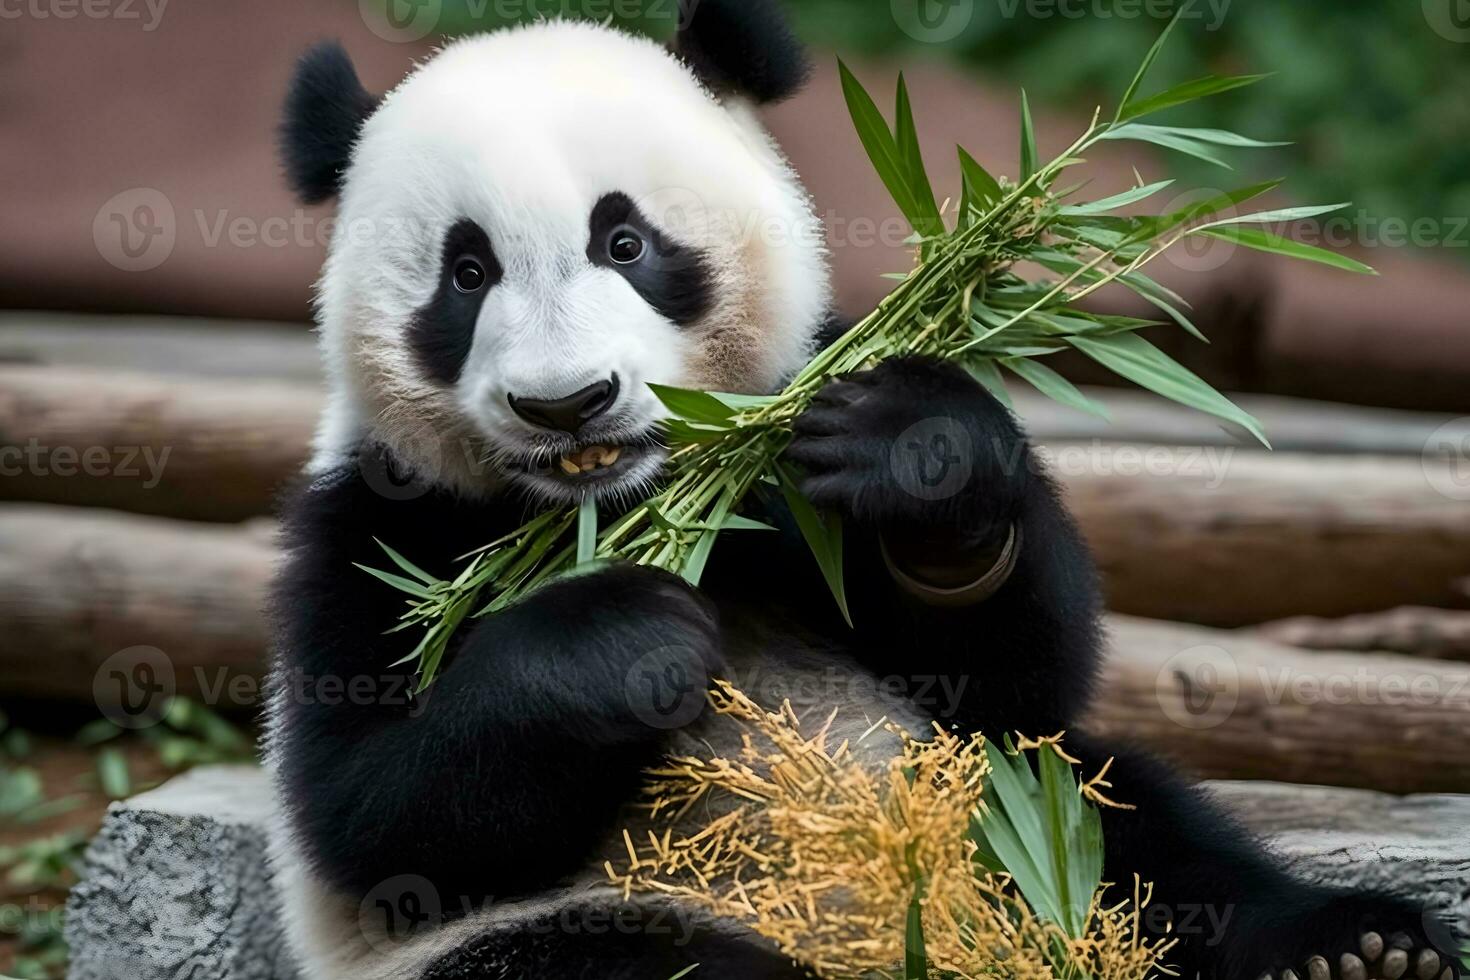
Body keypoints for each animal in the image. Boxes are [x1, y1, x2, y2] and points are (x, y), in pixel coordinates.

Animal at [261, 3, 1458, 975]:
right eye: (467, 274)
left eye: (627, 240)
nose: (569, 404)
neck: (628, 504)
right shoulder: (379, 519)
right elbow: (373, 816)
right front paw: (620, 639)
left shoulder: (793, 464)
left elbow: (1023, 667)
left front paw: (919, 456)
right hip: (581, 926)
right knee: (635, 961)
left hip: (998, 808)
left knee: (1130, 822)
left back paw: (1356, 947)